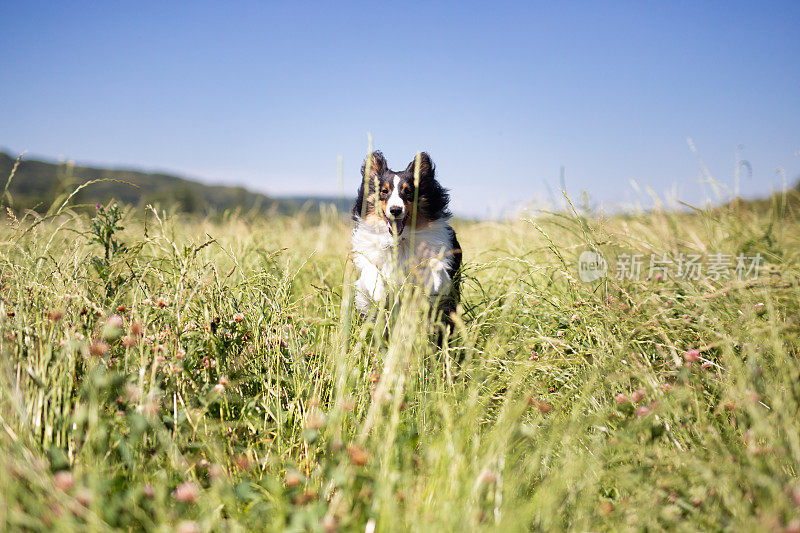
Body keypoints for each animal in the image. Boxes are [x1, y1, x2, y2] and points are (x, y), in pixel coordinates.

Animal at [352, 150, 462, 328]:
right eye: (384, 191)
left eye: (408, 191)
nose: (395, 210)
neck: (400, 240)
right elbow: (369, 269)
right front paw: (379, 290)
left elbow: (436, 265)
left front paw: (434, 281)